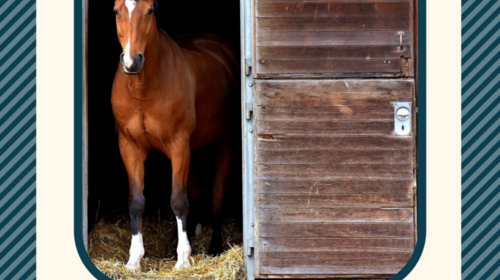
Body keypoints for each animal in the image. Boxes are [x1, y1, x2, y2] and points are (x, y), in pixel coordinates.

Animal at [111, 0, 238, 272]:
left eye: (149, 11)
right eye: (116, 11)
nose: (132, 62)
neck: (143, 89)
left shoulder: (178, 146)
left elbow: (179, 200)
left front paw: (183, 258)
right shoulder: (129, 147)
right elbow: (136, 201)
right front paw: (134, 259)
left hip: (223, 140)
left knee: (217, 190)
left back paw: (214, 245)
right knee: (197, 186)